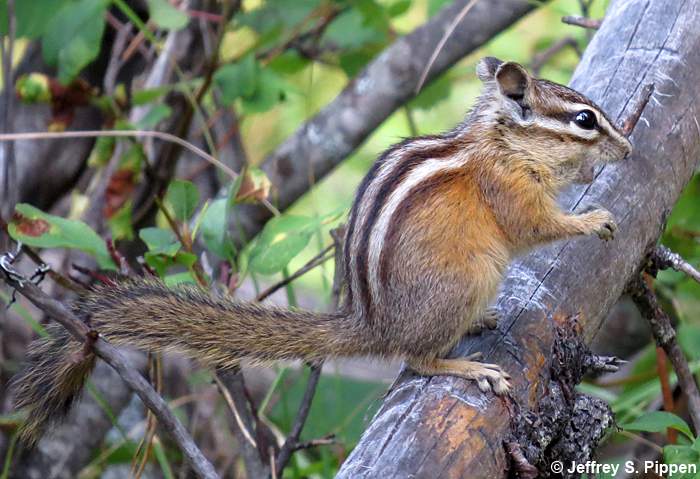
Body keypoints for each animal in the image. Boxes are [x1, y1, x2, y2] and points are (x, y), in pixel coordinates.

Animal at [11, 57, 632, 445]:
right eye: (585, 120)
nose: (627, 149)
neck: (503, 144)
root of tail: (369, 326)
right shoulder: (507, 190)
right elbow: (535, 228)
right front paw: (593, 218)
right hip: (471, 275)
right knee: (416, 359)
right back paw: (467, 365)